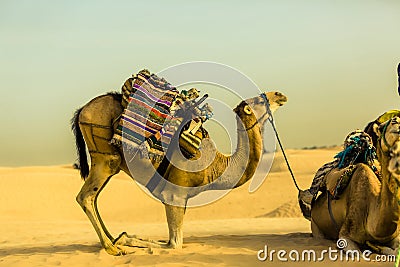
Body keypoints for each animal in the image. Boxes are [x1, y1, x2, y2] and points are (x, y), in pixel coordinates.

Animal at [70, 91, 286, 256]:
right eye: (259, 101)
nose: (279, 95)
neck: (217, 165)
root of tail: (82, 110)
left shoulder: (182, 199)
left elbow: (168, 241)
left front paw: (125, 237)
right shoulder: (174, 194)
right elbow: (174, 244)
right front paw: (126, 240)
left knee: (94, 198)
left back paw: (112, 240)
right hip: (105, 159)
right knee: (86, 197)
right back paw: (111, 248)